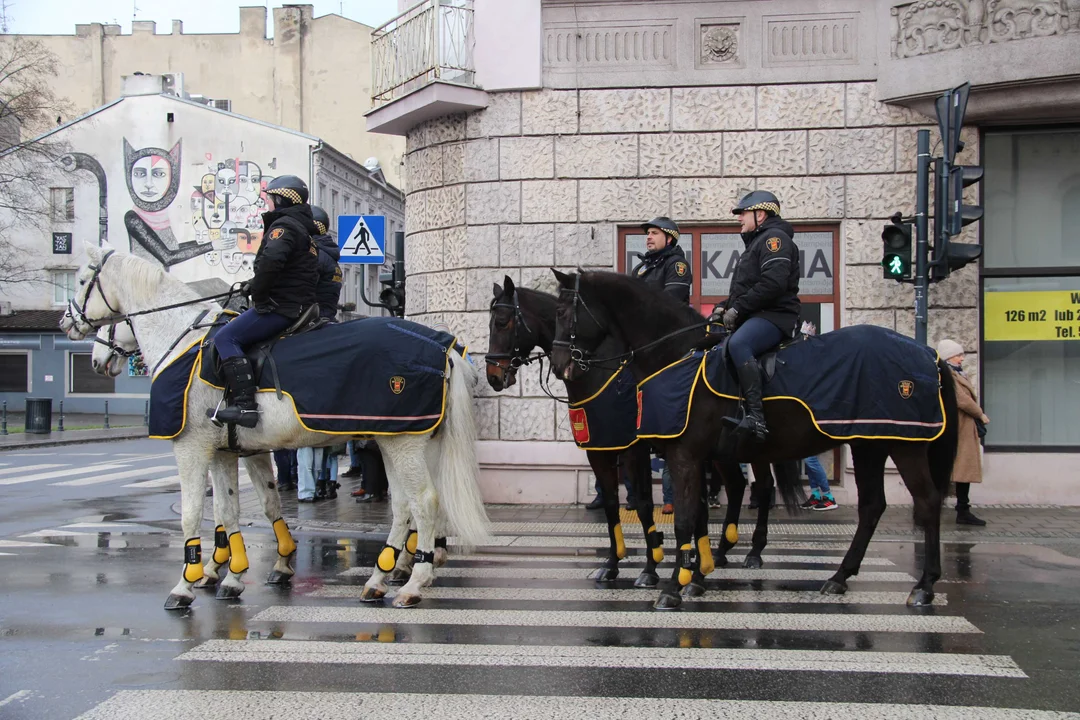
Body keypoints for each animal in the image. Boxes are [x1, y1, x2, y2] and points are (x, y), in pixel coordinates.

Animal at [90, 321, 295, 591]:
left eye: (109, 324)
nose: (95, 361)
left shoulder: (196, 446)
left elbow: (197, 512)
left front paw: (191, 580)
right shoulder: (236, 449)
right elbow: (243, 506)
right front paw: (230, 568)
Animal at [552, 268, 959, 608]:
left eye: (565, 313)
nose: (561, 365)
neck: (676, 356)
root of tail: (928, 353)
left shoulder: (682, 455)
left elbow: (683, 518)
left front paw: (672, 587)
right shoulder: (692, 456)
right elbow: (695, 515)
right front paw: (695, 576)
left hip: (905, 444)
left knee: (927, 502)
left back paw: (924, 585)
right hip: (868, 444)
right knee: (871, 506)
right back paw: (840, 576)